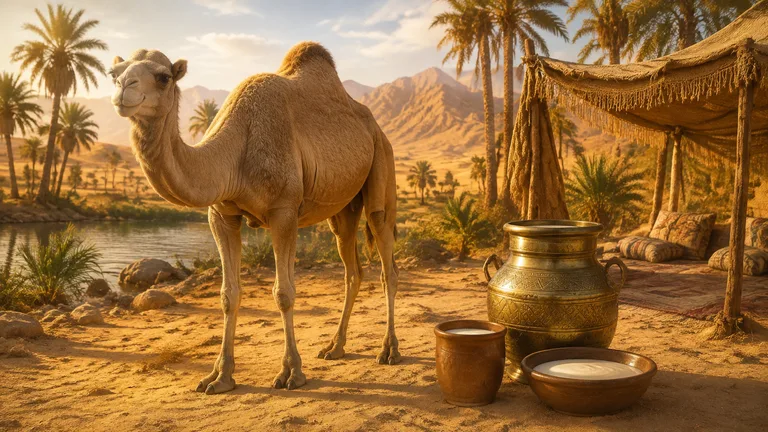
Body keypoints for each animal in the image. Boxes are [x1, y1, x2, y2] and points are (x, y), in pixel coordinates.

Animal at [109, 42, 400, 394]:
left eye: (163, 76)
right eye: (113, 72)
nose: (124, 88)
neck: (234, 154)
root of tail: (375, 127)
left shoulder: (284, 211)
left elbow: (284, 293)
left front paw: (292, 373)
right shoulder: (221, 215)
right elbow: (229, 294)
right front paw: (219, 377)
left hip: (382, 162)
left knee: (386, 257)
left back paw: (389, 350)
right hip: (343, 208)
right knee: (352, 268)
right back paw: (335, 347)